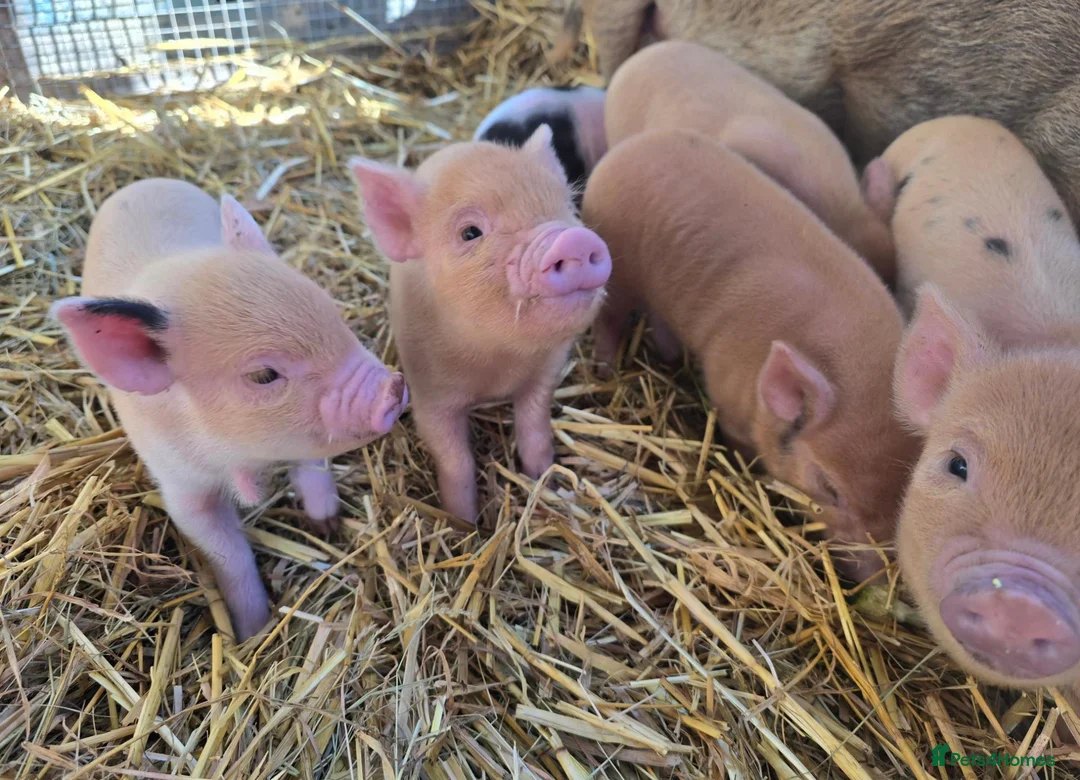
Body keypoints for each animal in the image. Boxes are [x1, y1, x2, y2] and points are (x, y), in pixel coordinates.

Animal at [50, 178, 408, 641]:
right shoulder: (181, 487)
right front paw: (251, 631)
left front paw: (326, 523)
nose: (394, 386)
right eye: (263, 375)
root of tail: (145, 182)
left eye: (335, 317)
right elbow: (228, 554)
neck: (244, 458)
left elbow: (312, 463)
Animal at [348, 125, 612, 522]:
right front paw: (465, 523)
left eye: (567, 206)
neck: (495, 364)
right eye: (470, 232)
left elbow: (536, 431)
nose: (573, 239)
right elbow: (456, 461)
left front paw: (542, 481)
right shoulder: (430, 394)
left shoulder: (545, 374)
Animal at [583, 127, 919, 580]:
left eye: (904, 493)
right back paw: (605, 369)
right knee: (610, 318)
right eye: (828, 487)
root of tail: (626, 151)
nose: (874, 577)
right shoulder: (728, 393)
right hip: (616, 268)